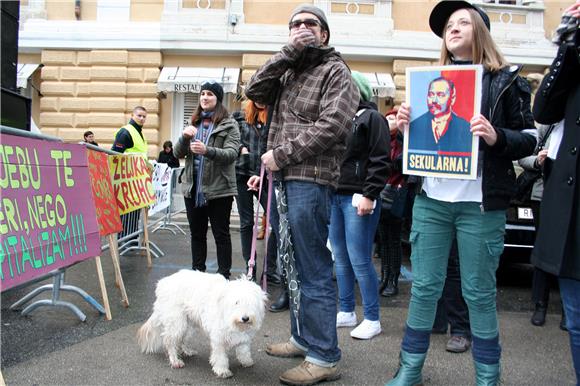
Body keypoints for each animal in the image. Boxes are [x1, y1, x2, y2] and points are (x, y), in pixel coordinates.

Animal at [138, 268, 268, 376]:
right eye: (236, 302)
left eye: (251, 303)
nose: (245, 318)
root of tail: (162, 284)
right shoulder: (218, 339)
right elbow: (220, 356)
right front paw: (222, 370)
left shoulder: (244, 338)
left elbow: (243, 350)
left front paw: (246, 361)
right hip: (177, 323)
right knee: (170, 341)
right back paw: (175, 360)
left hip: (189, 325)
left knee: (182, 339)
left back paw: (187, 351)